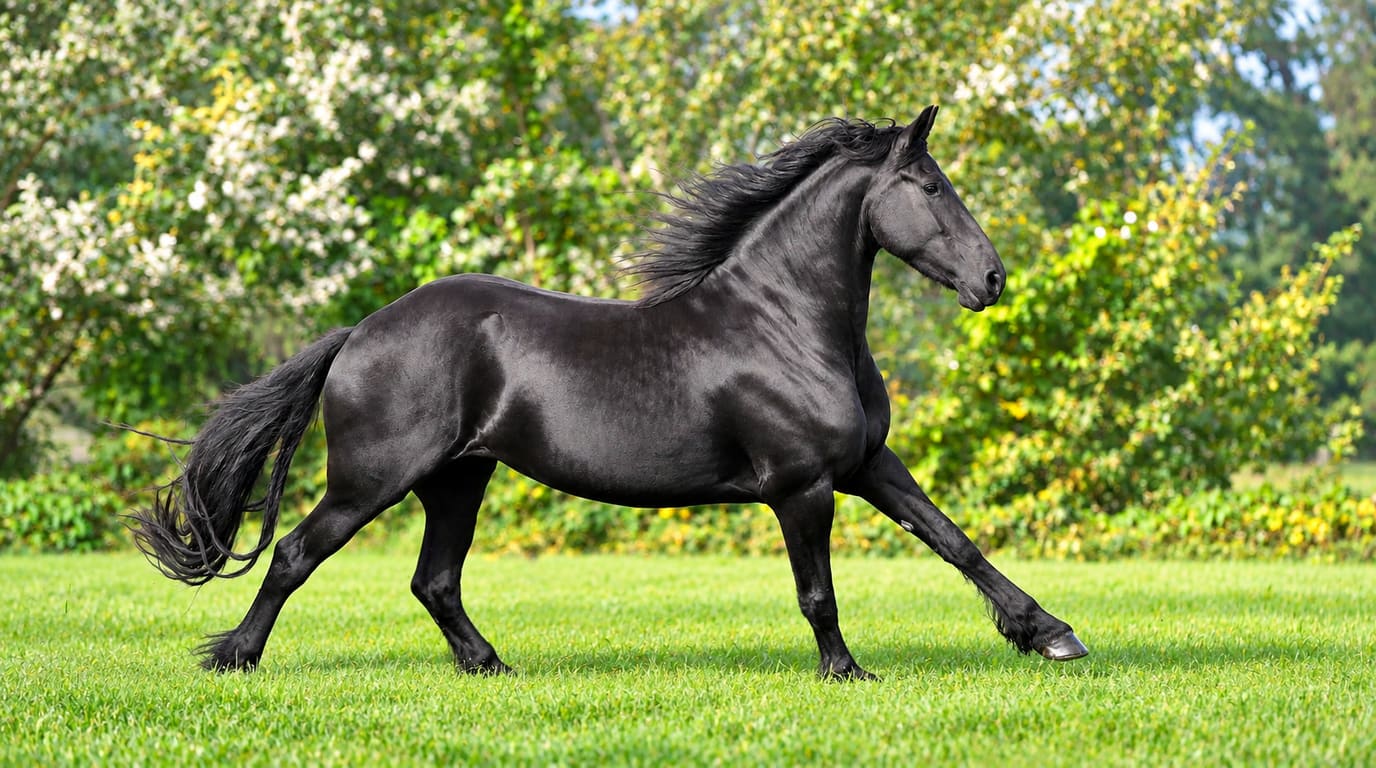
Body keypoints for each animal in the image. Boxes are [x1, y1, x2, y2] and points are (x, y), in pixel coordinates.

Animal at [130, 105, 1087, 679]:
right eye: (929, 187)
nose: (993, 279)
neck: (786, 323)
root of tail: (360, 332)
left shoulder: (868, 465)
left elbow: (956, 542)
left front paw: (1050, 634)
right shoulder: (803, 486)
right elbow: (819, 591)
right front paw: (846, 671)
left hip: (458, 479)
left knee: (434, 580)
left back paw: (491, 666)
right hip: (374, 479)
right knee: (296, 554)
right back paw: (233, 657)